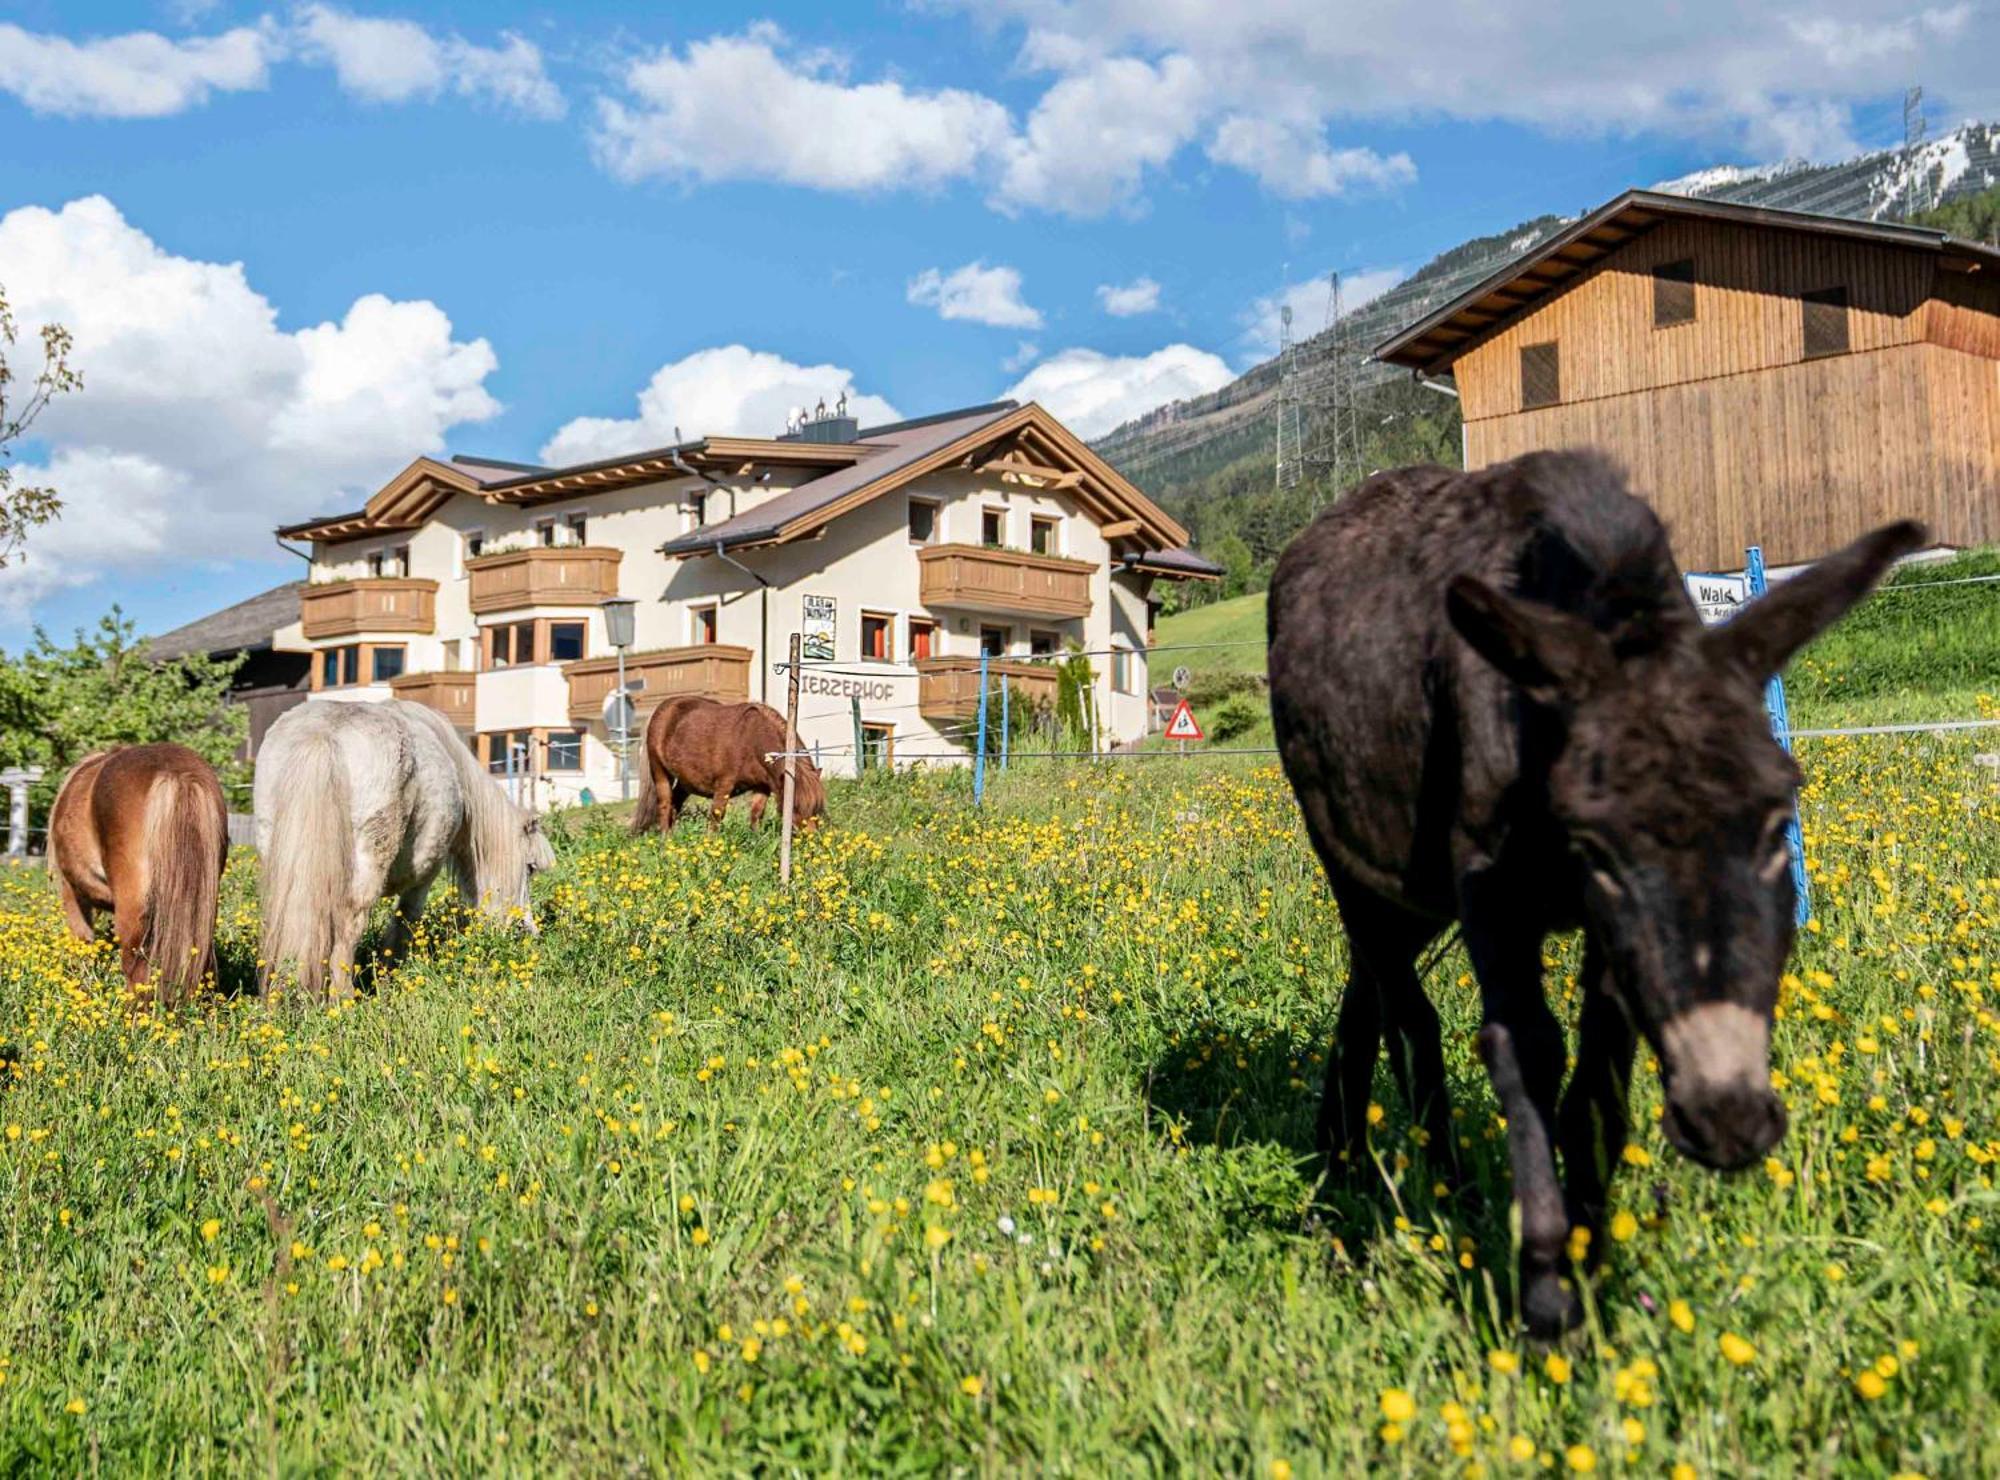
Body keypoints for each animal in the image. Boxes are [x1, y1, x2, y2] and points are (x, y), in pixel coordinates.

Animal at [258, 696, 560, 1000]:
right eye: (530, 868)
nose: (528, 932)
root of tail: (324, 734)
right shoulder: (424, 877)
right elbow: (405, 922)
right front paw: (390, 979)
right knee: (348, 928)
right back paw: (344, 998)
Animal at [640, 692, 828, 832]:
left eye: (816, 807)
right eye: (794, 807)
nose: (811, 838)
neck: (752, 739)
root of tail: (662, 709)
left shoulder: (762, 787)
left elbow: (756, 815)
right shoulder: (724, 785)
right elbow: (716, 816)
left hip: (687, 782)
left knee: (675, 804)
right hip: (660, 772)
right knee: (665, 805)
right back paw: (665, 840)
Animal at [1264, 446, 1920, 1336]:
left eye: (1776, 821)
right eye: (1597, 848)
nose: (1729, 1122)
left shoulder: (1616, 945)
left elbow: (1599, 1089)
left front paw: (1589, 1262)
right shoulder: (1495, 899)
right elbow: (1528, 1056)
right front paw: (1546, 1296)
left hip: (1409, 891)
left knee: (1365, 989)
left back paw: (1341, 1157)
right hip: (1352, 863)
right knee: (1410, 1017)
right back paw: (1443, 1189)